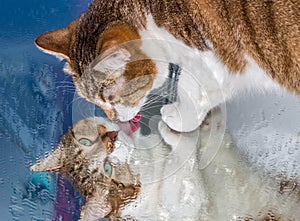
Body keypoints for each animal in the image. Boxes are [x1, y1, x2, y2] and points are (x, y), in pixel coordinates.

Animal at [29, 108, 300, 220]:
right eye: (108, 169)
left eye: (86, 141)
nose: (113, 138)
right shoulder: (190, 202)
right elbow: (187, 159)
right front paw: (172, 128)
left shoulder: (225, 160)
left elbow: (218, 141)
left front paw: (207, 119)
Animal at [34, 0, 298, 131]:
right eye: (94, 102)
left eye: (112, 98)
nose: (115, 121)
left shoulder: (211, 64)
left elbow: (192, 90)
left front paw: (177, 117)